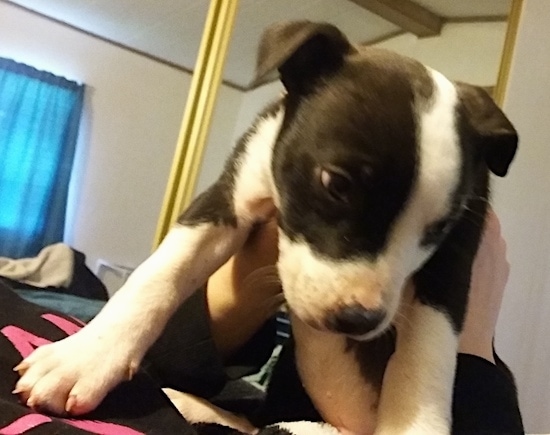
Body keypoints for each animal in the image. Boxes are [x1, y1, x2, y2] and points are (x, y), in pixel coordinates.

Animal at [15, 21, 520, 435]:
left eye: (439, 228)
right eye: (337, 184)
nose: (358, 320)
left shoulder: (455, 262)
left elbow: (426, 356)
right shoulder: (225, 201)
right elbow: (159, 275)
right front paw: (86, 357)